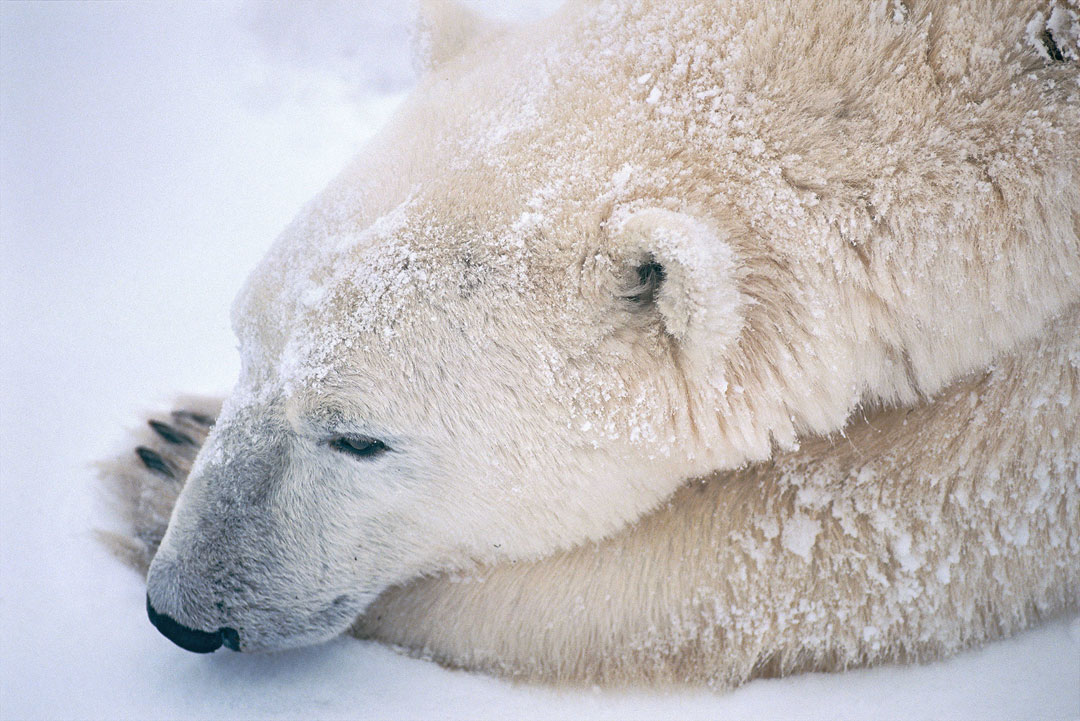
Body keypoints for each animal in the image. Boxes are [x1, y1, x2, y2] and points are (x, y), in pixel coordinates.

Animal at [100, 0, 1080, 687]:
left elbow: (839, 538)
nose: (178, 611)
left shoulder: (1042, 396)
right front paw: (167, 442)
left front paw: (154, 472)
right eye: (244, 347)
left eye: (359, 438)